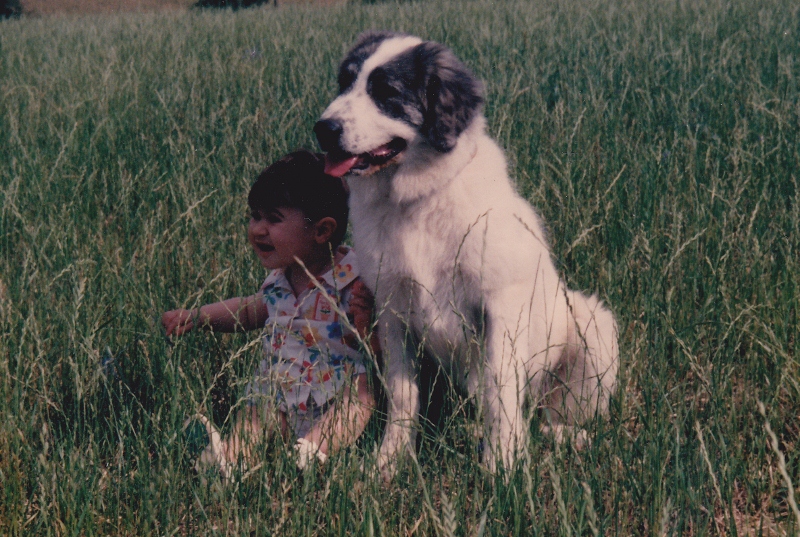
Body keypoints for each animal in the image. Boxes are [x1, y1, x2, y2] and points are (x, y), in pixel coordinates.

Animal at [312, 31, 620, 478]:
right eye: (344, 83)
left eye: (386, 93)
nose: (323, 129)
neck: (416, 203)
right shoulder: (392, 312)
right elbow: (403, 395)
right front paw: (389, 463)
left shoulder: (499, 309)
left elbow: (500, 391)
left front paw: (502, 466)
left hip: (594, 324)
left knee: (549, 414)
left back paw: (562, 436)